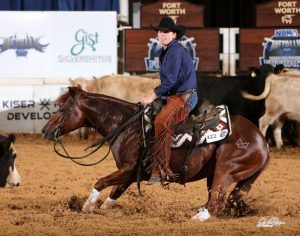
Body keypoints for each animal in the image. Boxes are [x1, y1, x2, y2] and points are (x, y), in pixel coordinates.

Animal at [41, 86, 270, 221]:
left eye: (62, 109)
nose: (45, 130)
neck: (127, 126)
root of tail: (262, 141)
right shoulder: (131, 174)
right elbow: (114, 192)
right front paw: (101, 208)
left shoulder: (129, 170)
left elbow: (101, 182)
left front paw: (86, 207)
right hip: (217, 175)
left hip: (226, 171)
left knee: (216, 203)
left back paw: (194, 218)